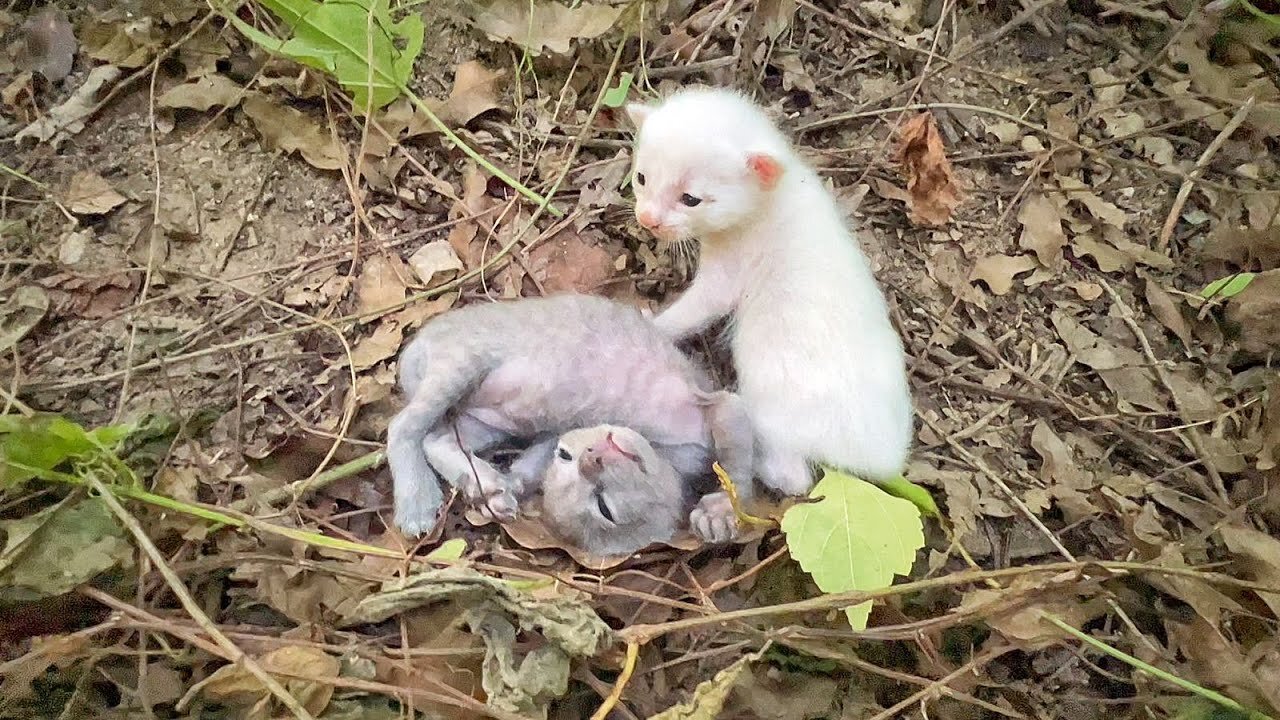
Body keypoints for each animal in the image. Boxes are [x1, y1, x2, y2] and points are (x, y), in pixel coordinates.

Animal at [384, 292, 752, 538]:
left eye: (604, 505)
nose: (595, 460)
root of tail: (417, 342)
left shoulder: (568, 429)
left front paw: (511, 484)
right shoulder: (715, 402)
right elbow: (738, 459)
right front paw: (722, 510)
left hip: (487, 419)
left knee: (437, 438)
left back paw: (485, 484)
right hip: (461, 363)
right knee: (402, 426)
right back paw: (417, 502)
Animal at [627, 83, 911, 491]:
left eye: (690, 199)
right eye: (641, 178)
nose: (648, 219)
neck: (771, 196)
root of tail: (875, 459)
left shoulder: (730, 269)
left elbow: (698, 307)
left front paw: (652, 323)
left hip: (775, 412)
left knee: (793, 478)